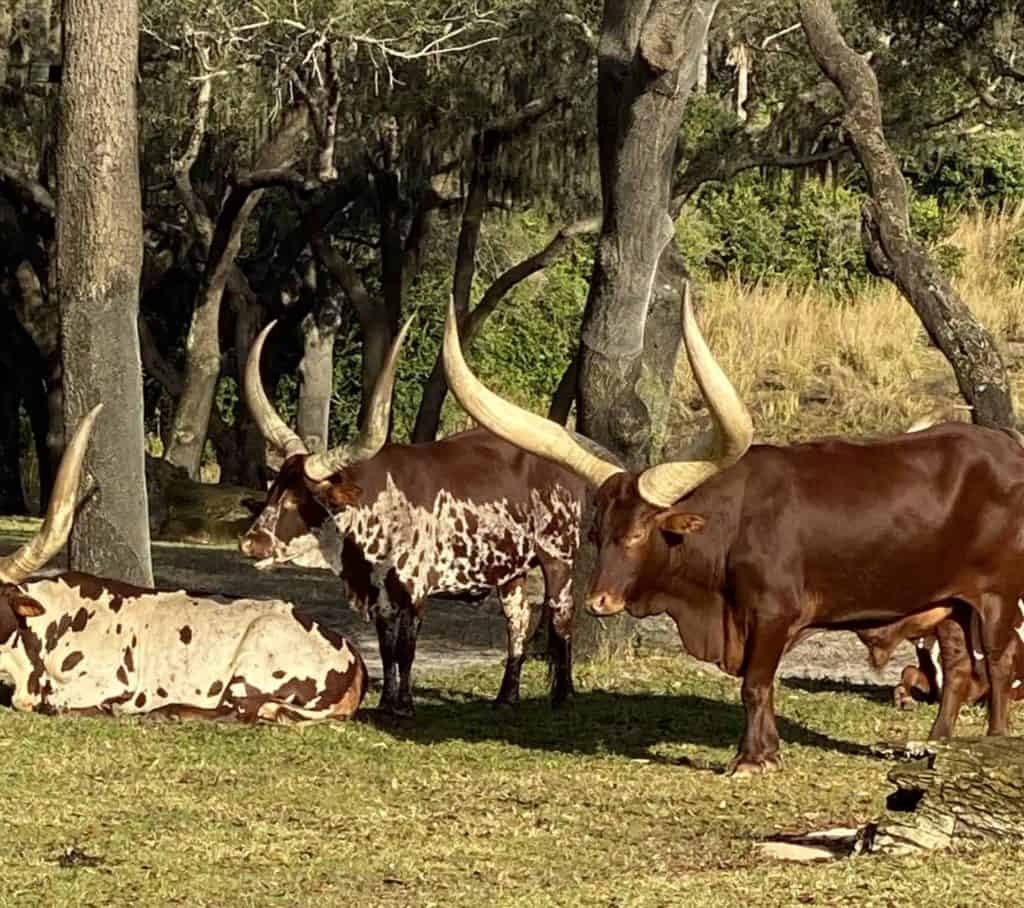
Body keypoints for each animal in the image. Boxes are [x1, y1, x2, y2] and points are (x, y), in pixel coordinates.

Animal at [0, 405, 367, 722]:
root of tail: (356, 661)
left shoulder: (107, 683)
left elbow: (56, 704)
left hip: (255, 661)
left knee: (237, 710)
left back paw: (167, 710)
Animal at [239, 320, 586, 715]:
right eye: (274, 489)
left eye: (300, 498)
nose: (251, 543)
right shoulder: (380, 597)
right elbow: (387, 649)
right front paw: (387, 701)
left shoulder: (415, 590)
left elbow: (406, 650)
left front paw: (403, 704)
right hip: (511, 571)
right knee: (518, 621)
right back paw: (506, 696)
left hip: (558, 559)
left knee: (562, 616)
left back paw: (564, 694)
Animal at [441, 289, 1024, 775]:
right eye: (599, 533)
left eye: (641, 533)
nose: (599, 602)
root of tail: (1007, 448)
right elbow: (759, 689)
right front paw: (765, 751)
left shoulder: (773, 615)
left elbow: (753, 685)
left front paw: (751, 759)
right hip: (949, 603)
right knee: (957, 663)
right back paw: (939, 742)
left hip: (997, 595)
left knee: (996, 665)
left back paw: (994, 742)